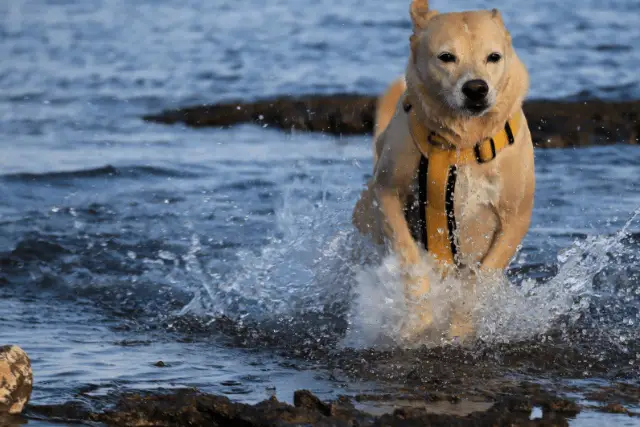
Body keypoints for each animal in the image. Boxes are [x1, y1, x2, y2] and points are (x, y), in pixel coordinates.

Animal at [352, 0, 532, 342]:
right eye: (446, 57)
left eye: (494, 56)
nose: (476, 88)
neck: (463, 143)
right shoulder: (389, 193)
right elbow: (410, 259)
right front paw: (419, 319)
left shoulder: (515, 217)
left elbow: (481, 279)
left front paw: (459, 327)